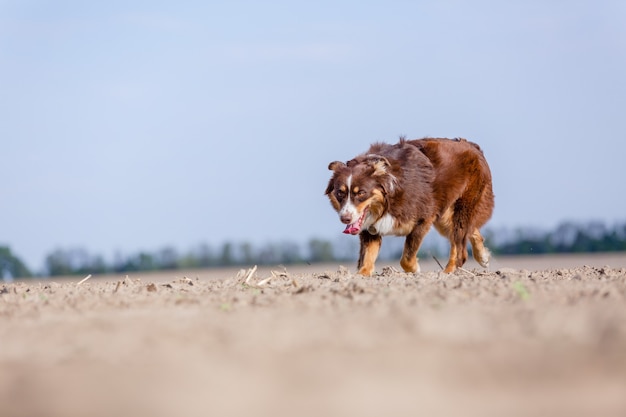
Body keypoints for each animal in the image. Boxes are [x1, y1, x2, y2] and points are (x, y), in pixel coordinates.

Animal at [322, 137, 492, 276]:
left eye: (361, 193)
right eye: (340, 193)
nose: (345, 219)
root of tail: (472, 145)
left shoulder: (422, 220)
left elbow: (407, 258)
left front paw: (415, 270)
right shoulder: (370, 228)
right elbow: (367, 258)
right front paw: (361, 275)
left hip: (462, 206)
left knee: (459, 245)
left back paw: (447, 272)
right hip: (443, 215)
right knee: (469, 231)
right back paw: (482, 257)